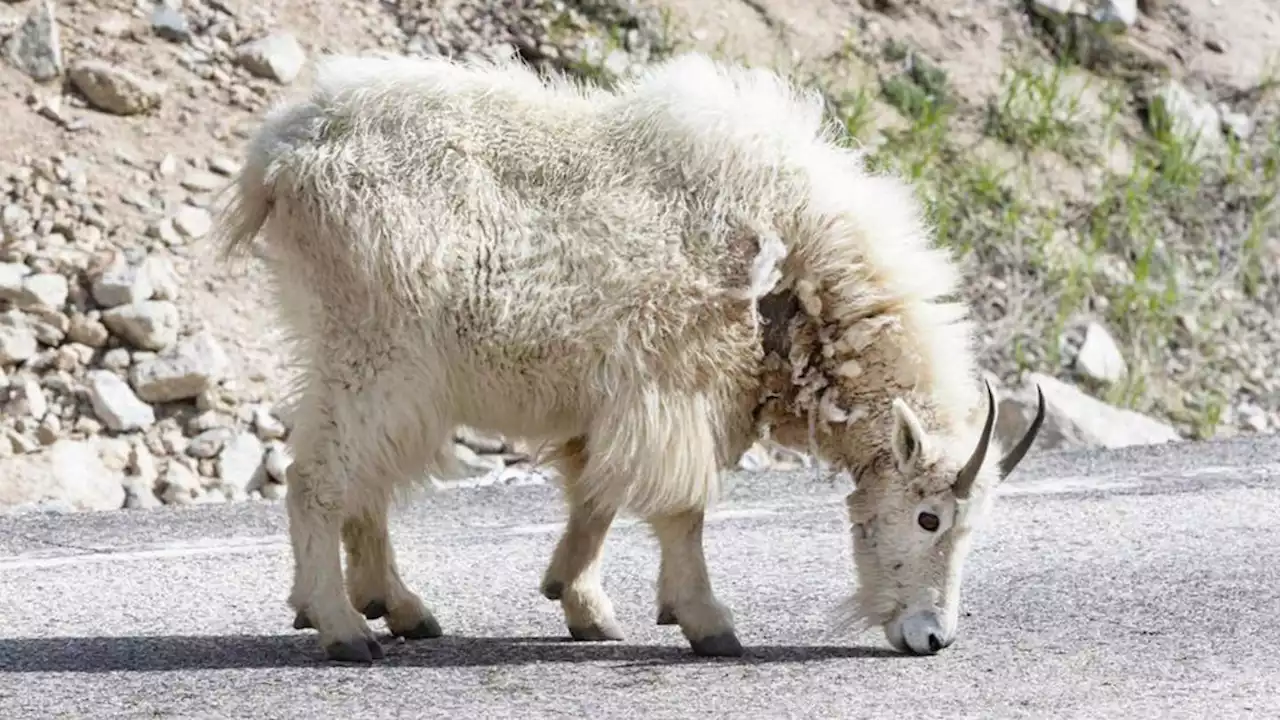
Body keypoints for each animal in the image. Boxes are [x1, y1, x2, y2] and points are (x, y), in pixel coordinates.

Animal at [215, 50, 1044, 666]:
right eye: (930, 517)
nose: (931, 638)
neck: (795, 263)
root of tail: (281, 153)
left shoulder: (614, 402)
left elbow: (596, 501)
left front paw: (581, 603)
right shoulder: (677, 386)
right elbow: (682, 508)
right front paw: (708, 621)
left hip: (362, 359)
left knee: (365, 483)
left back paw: (393, 608)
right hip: (375, 353)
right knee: (320, 480)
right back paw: (343, 626)